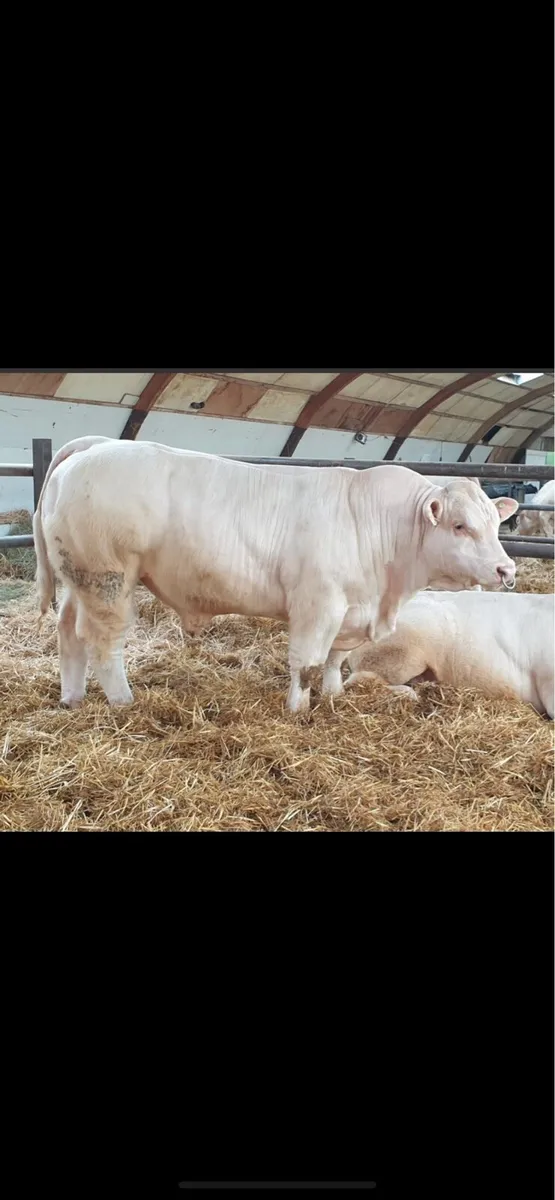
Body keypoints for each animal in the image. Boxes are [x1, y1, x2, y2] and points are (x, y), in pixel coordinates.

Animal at [33, 437, 518, 712]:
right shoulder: (317, 604)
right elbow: (306, 662)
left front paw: (334, 696)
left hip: (79, 579)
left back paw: (72, 698)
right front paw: (298, 709)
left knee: (68, 632)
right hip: (107, 579)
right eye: (460, 526)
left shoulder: (350, 611)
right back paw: (123, 702)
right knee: (103, 644)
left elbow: (334, 659)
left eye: (496, 524)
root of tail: (93, 447)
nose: (506, 569)